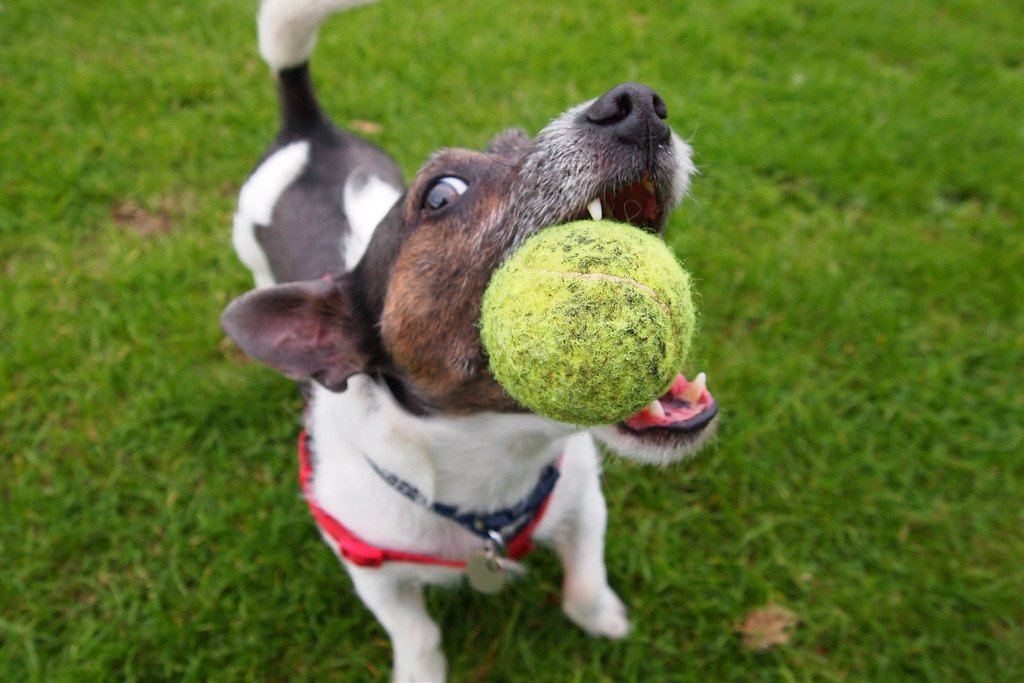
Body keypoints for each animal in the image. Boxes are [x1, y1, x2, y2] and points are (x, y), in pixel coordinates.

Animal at [224, 1, 720, 679]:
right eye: (442, 193)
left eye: (514, 143)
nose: (639, 102)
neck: (491, 481)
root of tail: (309, 129)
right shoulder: (371, 569)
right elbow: (415, 632)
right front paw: (420, 672)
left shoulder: (582, 501)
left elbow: (586, 581)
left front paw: (604, 619)